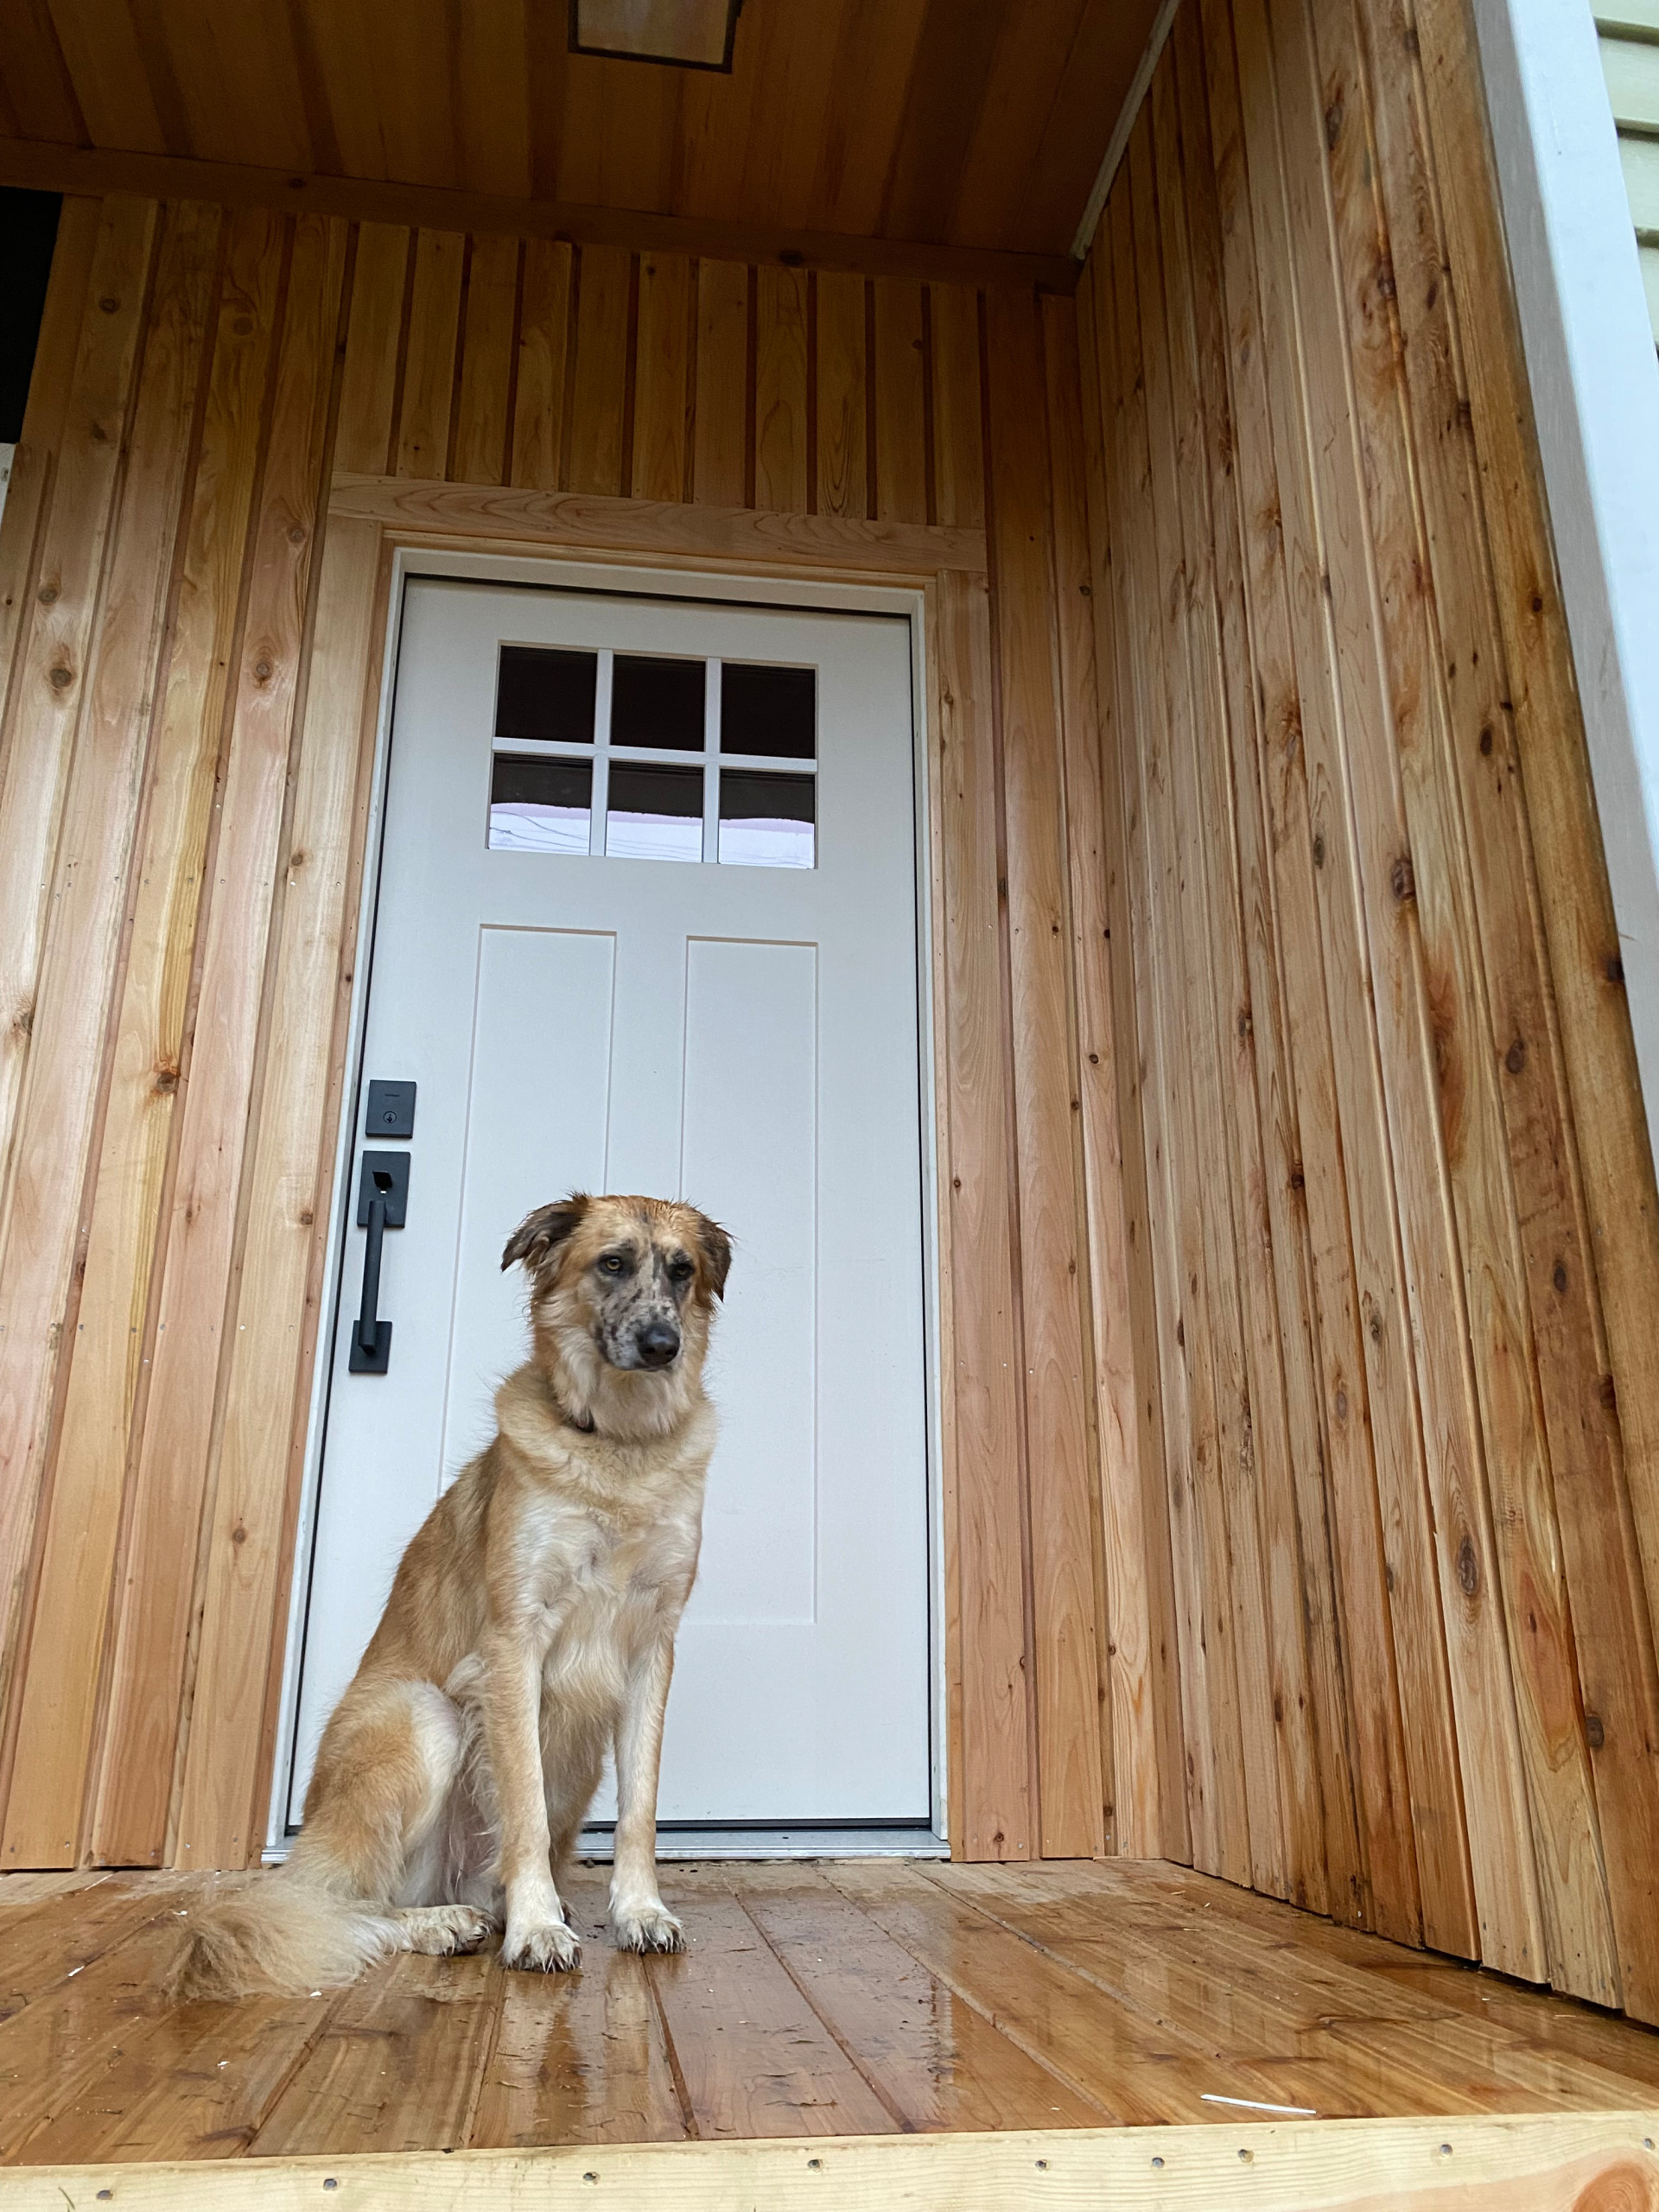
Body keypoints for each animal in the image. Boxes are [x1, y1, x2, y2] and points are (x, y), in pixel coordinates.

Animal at [170, 1194, 734, 2008]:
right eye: (613, 1263)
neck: (620, 1449)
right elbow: (524, 1805)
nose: (662, 1344)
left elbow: (640, 1811)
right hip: (422, 1716)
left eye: (682, 1271)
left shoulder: (650, 1652)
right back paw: (444, 1922)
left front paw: (640, 1912)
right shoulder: (513, 1646)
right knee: (341, 1904)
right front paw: (536, 1929)